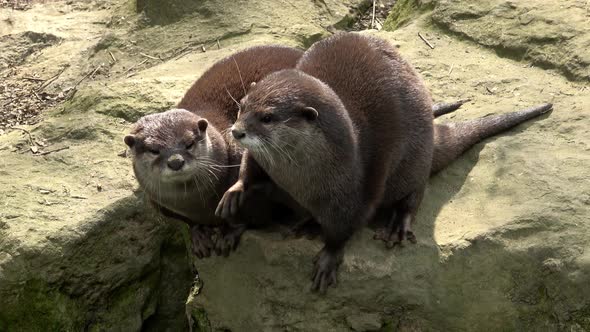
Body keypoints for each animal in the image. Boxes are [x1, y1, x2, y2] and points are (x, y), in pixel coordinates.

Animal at [122, 44, 302, 256]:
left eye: (189, 143)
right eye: (153, 150)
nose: (176, 161)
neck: (197, 205)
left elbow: (255, 215)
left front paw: (229, 232)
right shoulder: (159, 205)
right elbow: (187, 222)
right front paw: (198, 234)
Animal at [219, 33, 556, 294]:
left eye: (267, 117)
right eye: (242, 106)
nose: (237, 131)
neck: (300, 180)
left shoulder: (355, 193)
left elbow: (345, 228)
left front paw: (328, 257)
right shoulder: (264, 162)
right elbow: (249, 167)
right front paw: (234, 192)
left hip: (415, 158)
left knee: (415, 193)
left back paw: (396, 225)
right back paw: (307, 223)